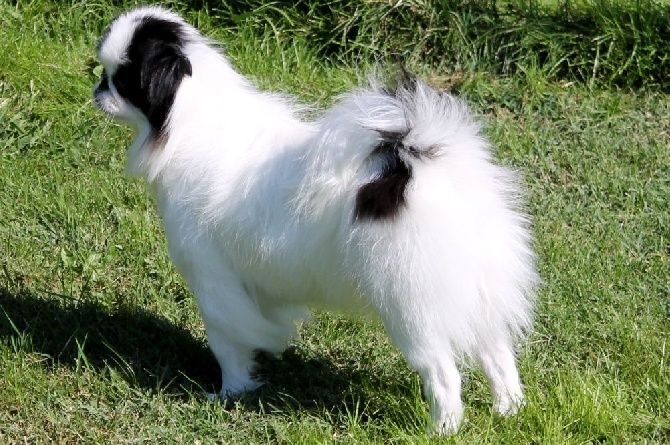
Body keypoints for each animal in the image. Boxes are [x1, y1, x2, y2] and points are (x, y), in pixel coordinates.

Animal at [93, 6, 538, 434]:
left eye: (122, 79)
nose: (98, 90)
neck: (192, 120)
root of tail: (419, 167)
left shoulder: (212, 277)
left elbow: (227, 340)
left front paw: (229, 393)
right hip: (477, 290)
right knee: (498, 354)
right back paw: (508, 410)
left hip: (410, 306)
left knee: (444, 374)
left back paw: (442, 429)